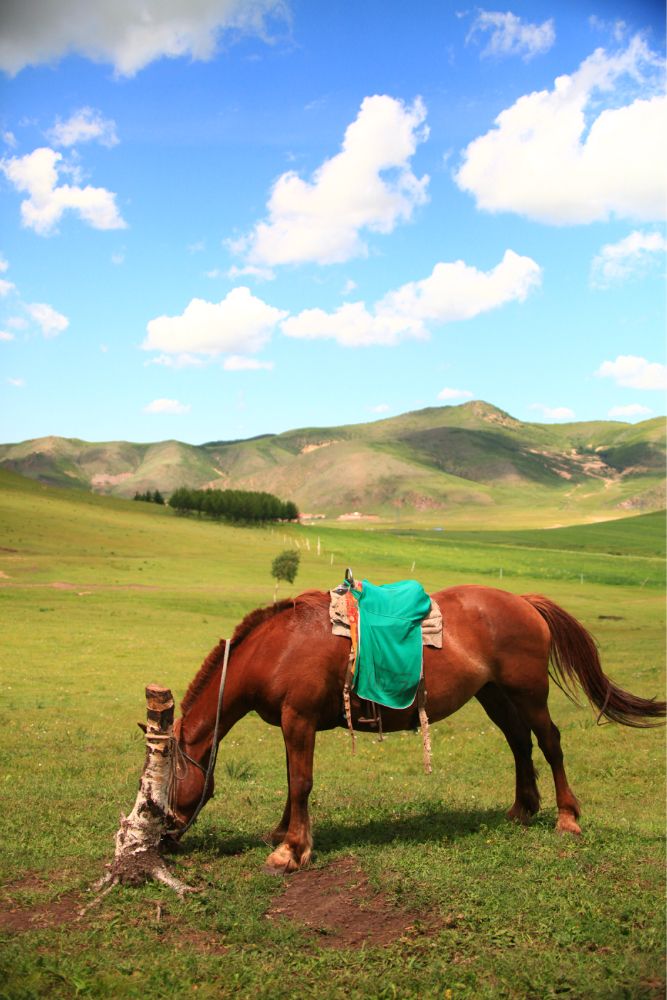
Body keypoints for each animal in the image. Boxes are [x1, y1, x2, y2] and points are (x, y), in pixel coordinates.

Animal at [171, 584, 664, 868]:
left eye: (160, 781)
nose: (167, 838)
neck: (280, 647)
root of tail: (525, 603)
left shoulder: (300, 718)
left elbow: (301, 782)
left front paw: (290, 850)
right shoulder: (293, 724)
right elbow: (293, 781)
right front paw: (285, 834)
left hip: (528, 692)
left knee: (549, 742)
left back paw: (567, 818)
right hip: (494, 694)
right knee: (519, 743)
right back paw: (522, 809)